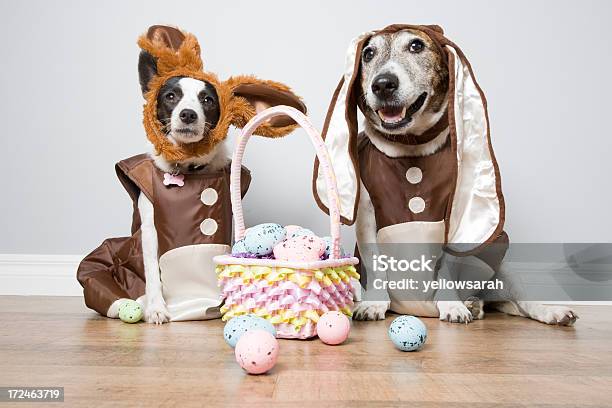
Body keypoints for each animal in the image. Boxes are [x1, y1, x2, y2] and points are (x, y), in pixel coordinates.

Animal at [314, 24, 576, 326]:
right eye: (368, 53)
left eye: (416, 46)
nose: (382, 84)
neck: (410, 146)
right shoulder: (368, 215)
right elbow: (376, 264)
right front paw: (374, 304)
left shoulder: (454, 218)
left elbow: (447, 269)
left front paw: (452, 305)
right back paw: (475, 304)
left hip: (500, 261)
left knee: (522, 302)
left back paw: (547, 311)